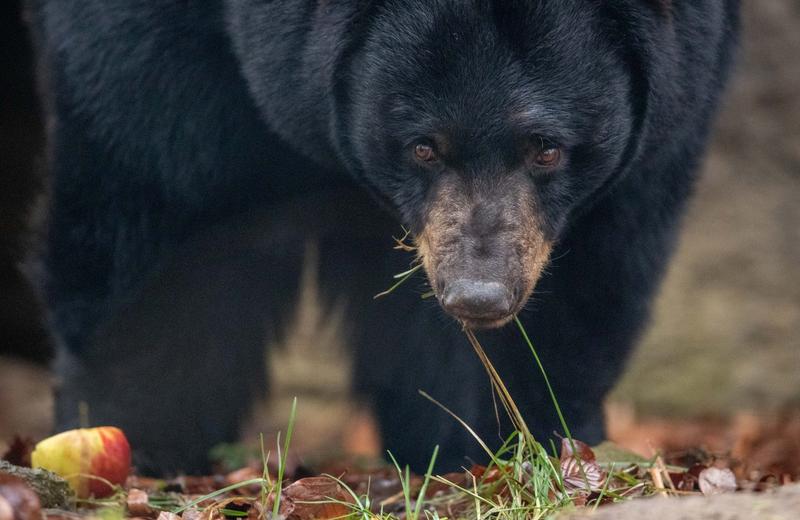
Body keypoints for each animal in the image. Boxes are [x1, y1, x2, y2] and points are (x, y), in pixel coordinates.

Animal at [28, 0, 740, 474]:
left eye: (547, 148)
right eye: (423, 146)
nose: (479, 295)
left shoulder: (677, 91)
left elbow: (595, 269)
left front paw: (510, 443)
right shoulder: (154, 51)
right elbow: (162, 194)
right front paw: (144, 440)